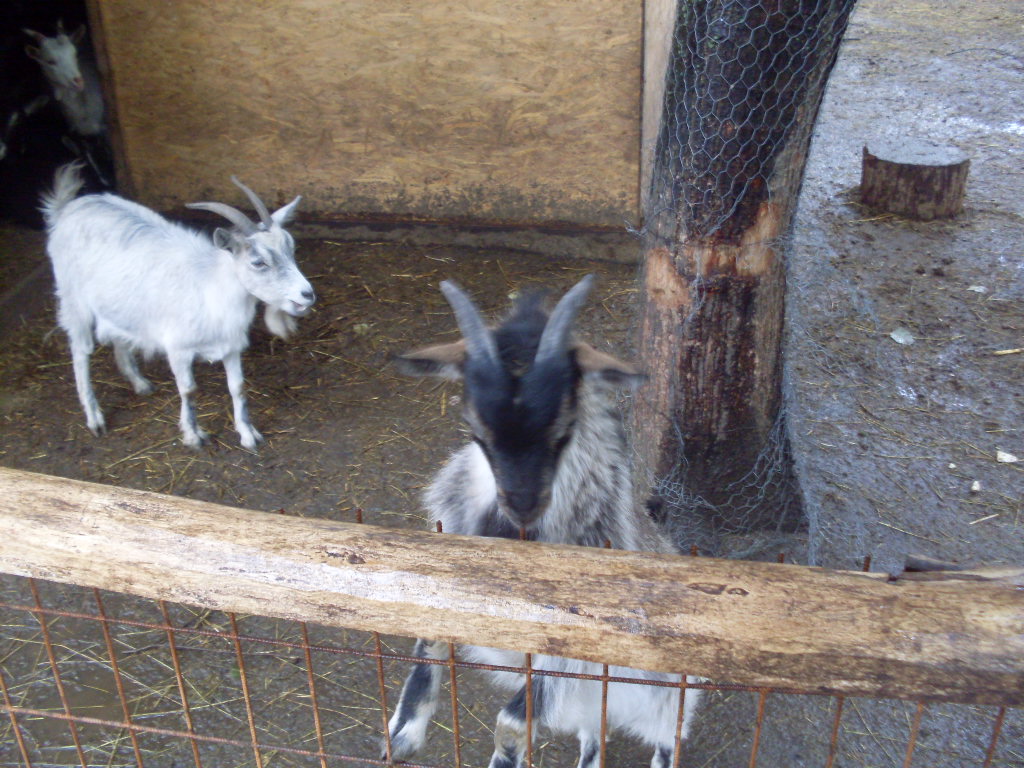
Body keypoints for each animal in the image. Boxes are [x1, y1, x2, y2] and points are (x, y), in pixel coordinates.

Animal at [41, 162, 315, 449]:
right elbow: (188, 390)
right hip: (73, 300)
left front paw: (248, 434)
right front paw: (193, 435)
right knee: (80, 351)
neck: (212, 288)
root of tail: (68, 208)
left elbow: (238, 387)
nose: (307, 294)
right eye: (258, 262)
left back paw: (139, 383)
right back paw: (95, 419)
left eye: (291, 249)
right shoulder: (178, 349)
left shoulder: (231, 346)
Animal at [388, 275, 702, 768]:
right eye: (475, 428)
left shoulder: (572, 650)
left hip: (669, 700)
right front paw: (403, 731)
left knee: (669, 740)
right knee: (594, 734)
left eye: (563, 427)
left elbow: (511, 722)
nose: (522, 504)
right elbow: (430, 640)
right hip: (595, 704)